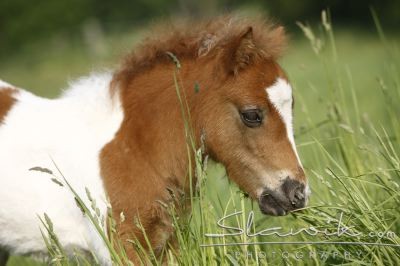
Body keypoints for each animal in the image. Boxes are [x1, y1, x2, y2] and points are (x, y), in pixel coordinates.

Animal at [0, 16, 310, 264]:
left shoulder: (166, 242)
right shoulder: (119, 247)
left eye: (291, 109)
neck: (135, 149)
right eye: (252, 115)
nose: (297, 194)